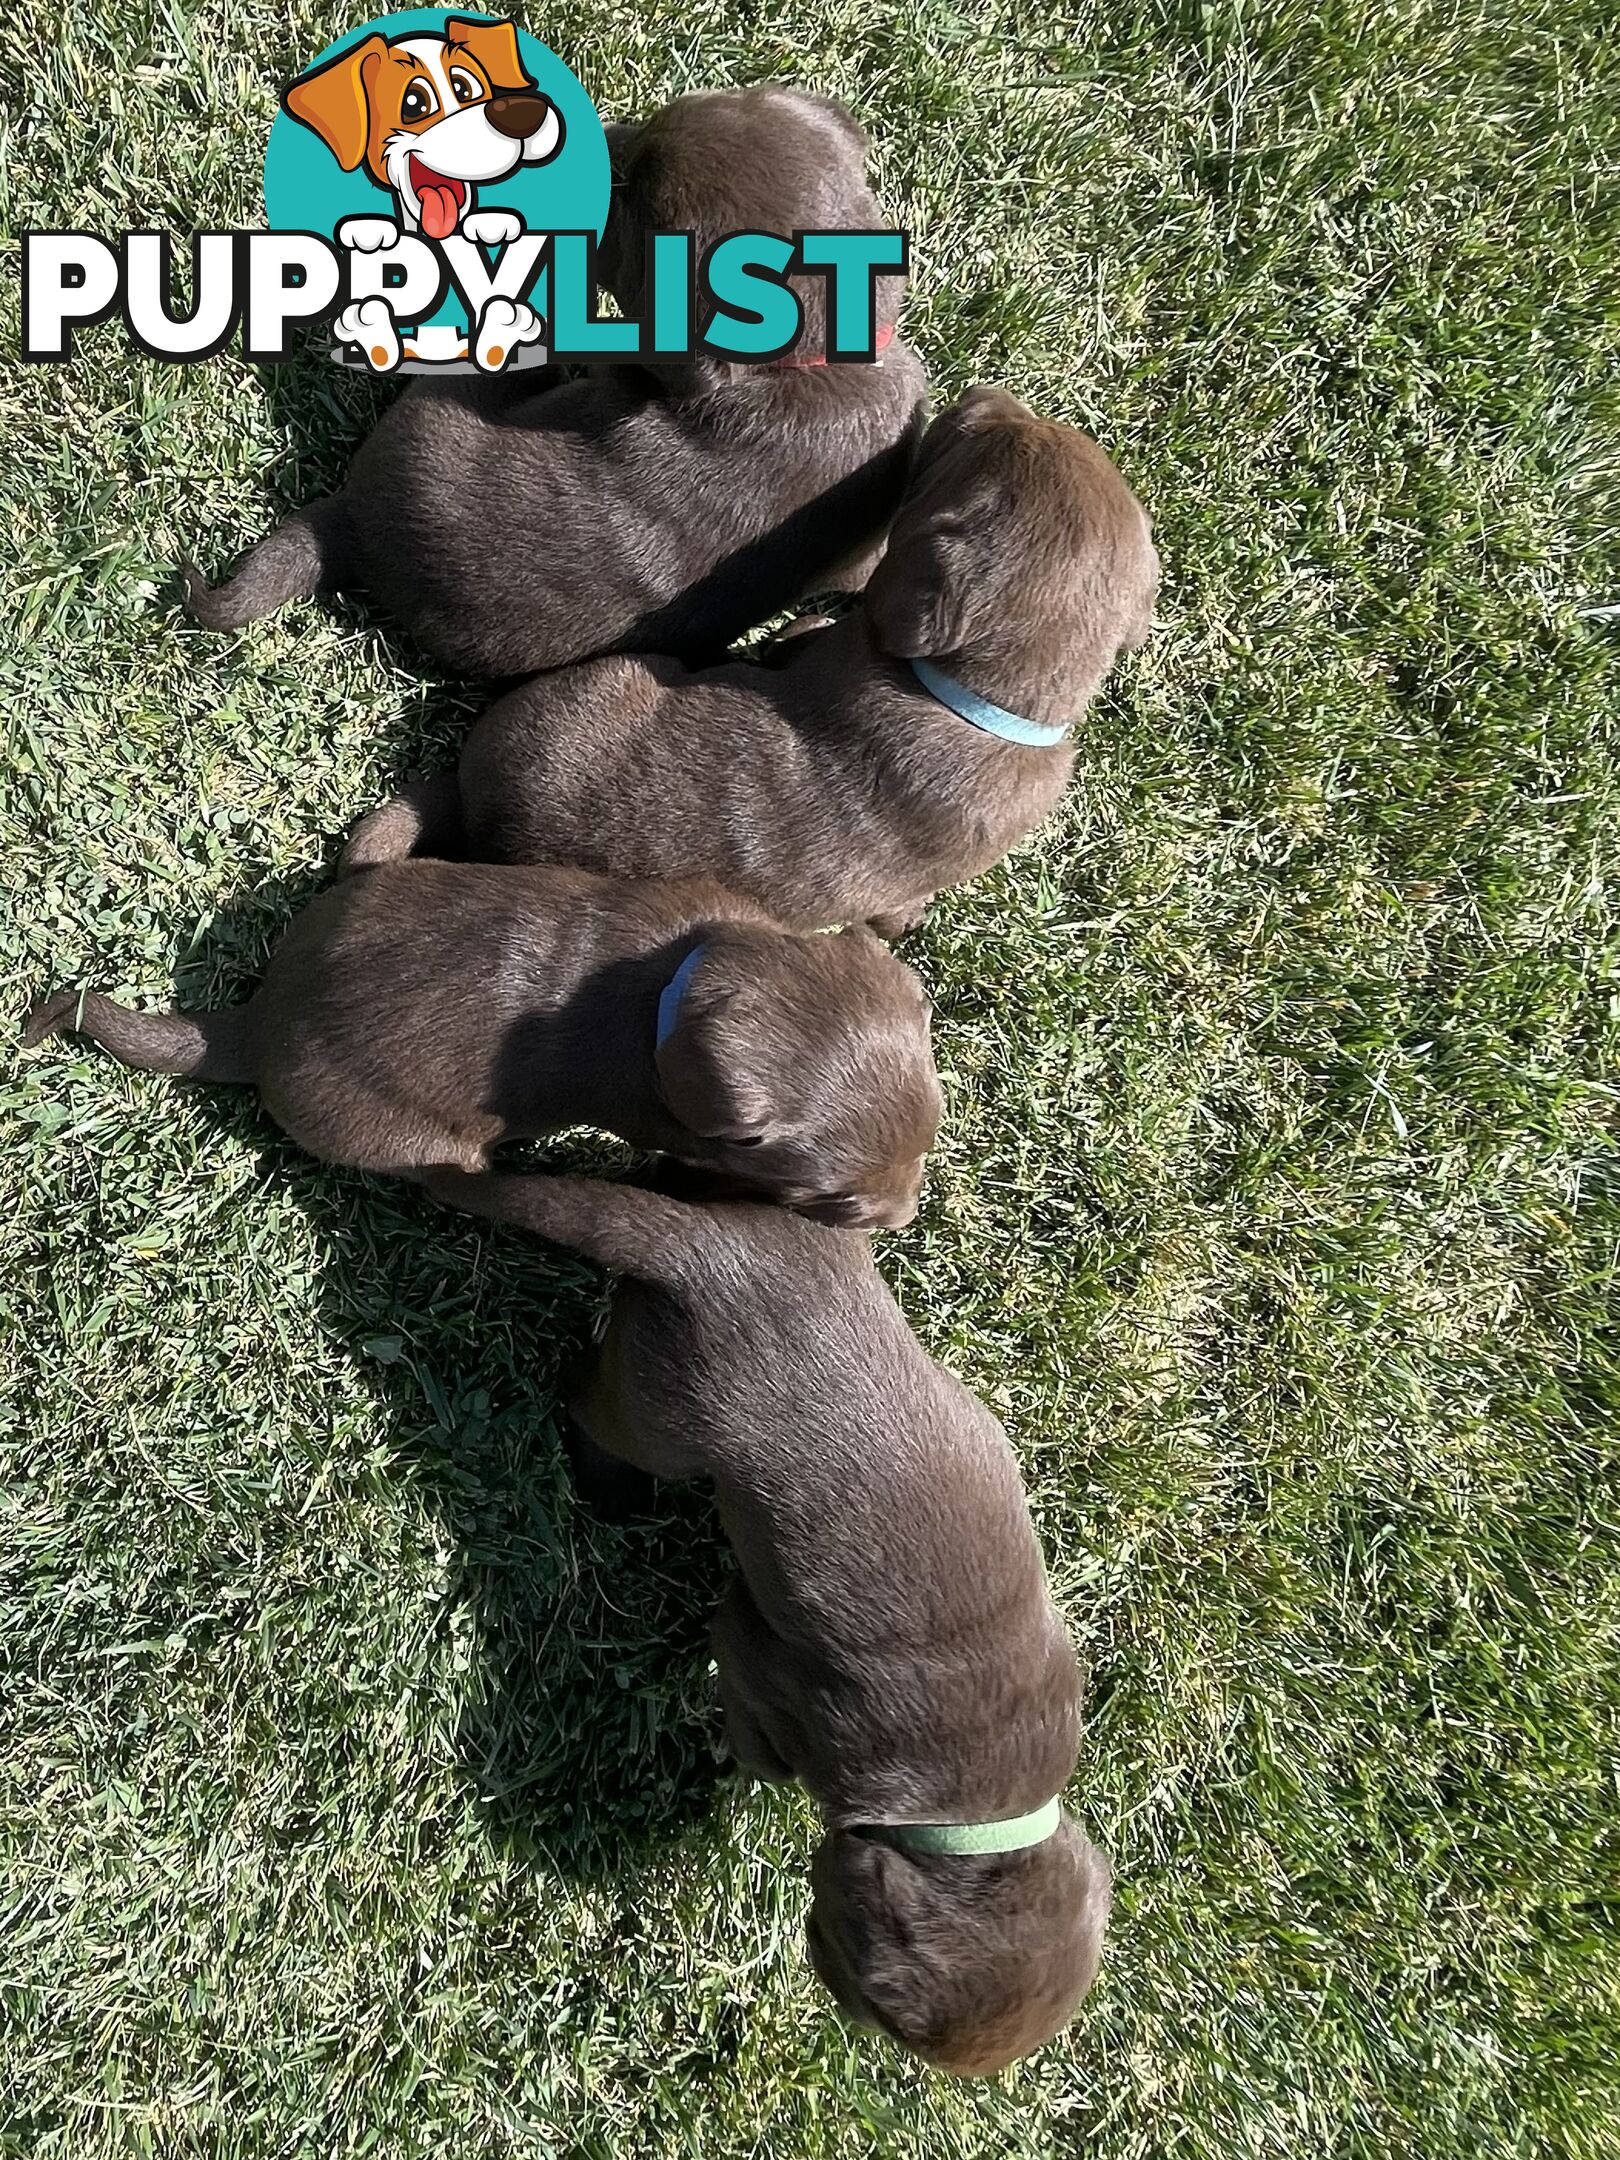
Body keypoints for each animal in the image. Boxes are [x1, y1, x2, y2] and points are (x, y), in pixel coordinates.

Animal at [15, 864, 937, 1235]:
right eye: (826, 1194)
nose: (901, 1218)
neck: (675, 987)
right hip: (414, 1137)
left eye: (931, 1134)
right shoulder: (658, 1123)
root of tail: (256, 1022)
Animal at [425, 1166, 1123, 2073]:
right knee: (584, 1398)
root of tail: (702, 1251)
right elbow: (763, 1740)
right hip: (660, 1414)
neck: (975, 1806)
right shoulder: (754, 1652)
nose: (834, 1995)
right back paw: (609, 1488)